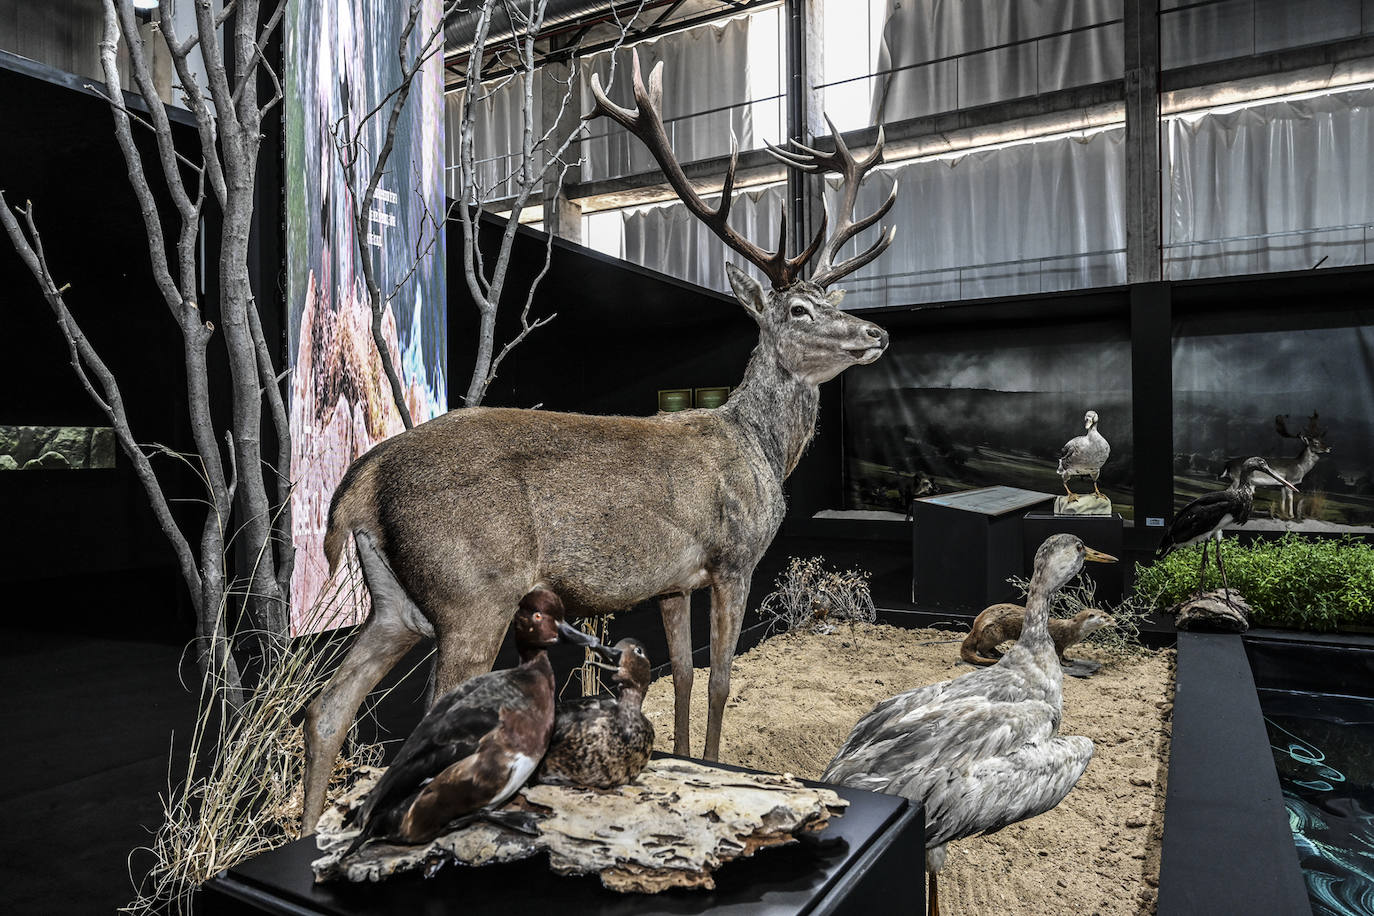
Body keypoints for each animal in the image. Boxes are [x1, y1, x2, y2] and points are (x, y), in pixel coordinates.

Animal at [302, 55, 901, 829]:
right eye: (799, 309)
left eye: (833, 303)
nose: (877, 332)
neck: (759, 449)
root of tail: (364, 478)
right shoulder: (734, 556)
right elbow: (721, 680)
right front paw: (723, 765)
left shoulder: (674, 579)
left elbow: (683, 674)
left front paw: (686, 759)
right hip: (471, 590)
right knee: (428, 709)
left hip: (395, 602)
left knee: (327, 707)